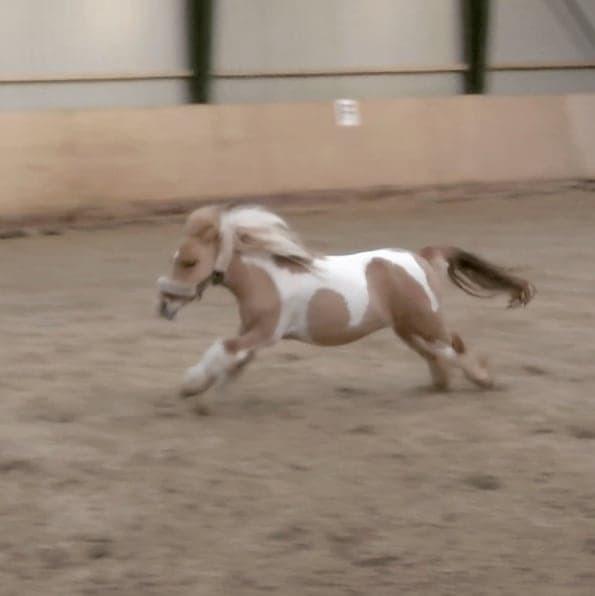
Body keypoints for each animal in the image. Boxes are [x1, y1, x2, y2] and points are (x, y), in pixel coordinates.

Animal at [157, 205, 536, 406]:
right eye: (176, 257)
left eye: (190, 262)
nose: (164, 306)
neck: (265, 276)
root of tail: (421, 256)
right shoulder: (253, 332)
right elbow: (234, 359)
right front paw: (203, 389)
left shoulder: (264, 332)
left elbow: (223, 348)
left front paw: (191, 385)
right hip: (406, 327)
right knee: (436, 353)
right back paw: (441, 384)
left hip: (426, 320)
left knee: (453, 344)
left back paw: (483, 379)